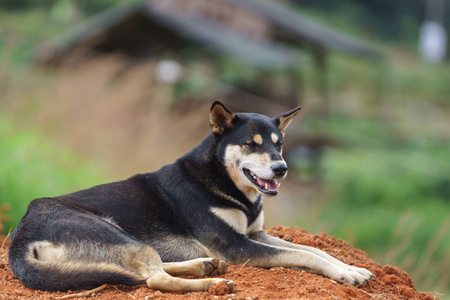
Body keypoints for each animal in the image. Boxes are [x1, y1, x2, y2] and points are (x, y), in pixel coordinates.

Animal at [7, 102, 372, 292]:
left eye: (278, 144)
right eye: (251, 144)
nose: (281, 169)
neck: (222, 181)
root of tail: (20, 240)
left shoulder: (254, 234)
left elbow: (314, 249)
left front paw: (352, 267)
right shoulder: (237, 246)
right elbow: (305, 255)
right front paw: (348, 275)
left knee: (152, 268)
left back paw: (203, 265)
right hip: (113, 231)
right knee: (152, 279)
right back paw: (212, 283)